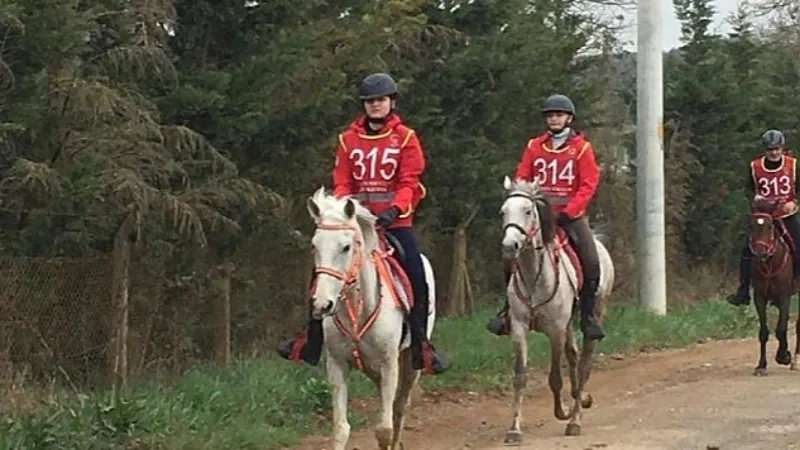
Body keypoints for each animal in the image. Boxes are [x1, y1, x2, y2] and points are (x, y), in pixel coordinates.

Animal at [304, 186, 438, 450]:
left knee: (399, 407)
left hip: (409, 363)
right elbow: (341, 429)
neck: (358, 309)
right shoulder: (337, 364)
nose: (322, 304)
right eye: (315, 246)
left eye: (346, 247)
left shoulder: (389, 364)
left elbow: (384, 430)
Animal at [496, 177, 616, 442]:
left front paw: (563, 413)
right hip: (569, 322)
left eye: (528, 211)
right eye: (503, 212)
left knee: (584, 363)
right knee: (573, 356)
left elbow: (554, 377)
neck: (534, 276)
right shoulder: (519, 327)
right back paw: (580, 398)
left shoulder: (556, 330)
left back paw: (575, 419)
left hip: (594, 313)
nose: (509, 246)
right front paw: (514, 429)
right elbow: (520, 376)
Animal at [752, 200, 800, 376]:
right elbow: (764, 332)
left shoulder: (784, 295)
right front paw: (761, 365)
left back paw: (795, 361)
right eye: (751, 225)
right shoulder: (759, 298)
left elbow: (781, 328)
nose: (760, 252)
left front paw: (783, 357)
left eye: (770, 226)